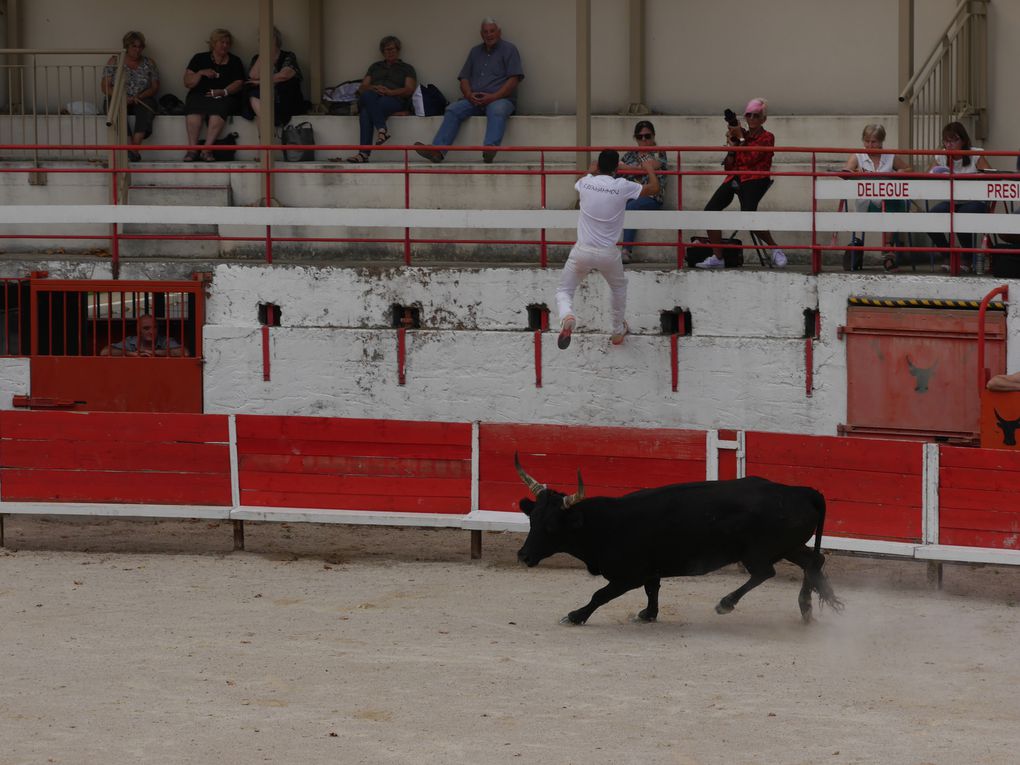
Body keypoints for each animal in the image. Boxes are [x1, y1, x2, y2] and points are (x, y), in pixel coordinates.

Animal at [518, 459, 844, 624]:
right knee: (814, 560)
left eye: (550, 526)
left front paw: (575, 615)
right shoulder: (650, 571)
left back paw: (726, 603)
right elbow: (653, 589)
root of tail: (802, 491)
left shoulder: (628, 576)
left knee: (766, 572)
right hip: (789, 546)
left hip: (758, 552)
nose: (523, 556)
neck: (605, 524)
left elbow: (601, 594)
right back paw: (806, 608)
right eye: (531, 519)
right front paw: (648, 614)